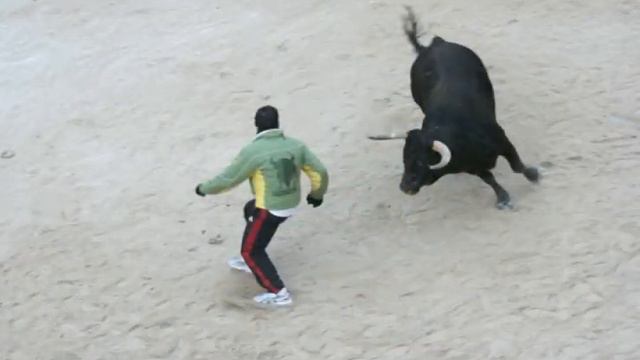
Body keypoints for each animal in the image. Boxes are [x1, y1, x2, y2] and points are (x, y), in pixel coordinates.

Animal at [370, 7, 540, 210]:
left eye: (420, 161)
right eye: (404, 159)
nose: (404, 187)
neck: (461, 137)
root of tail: (429, 47)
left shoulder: (503, 141)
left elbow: (517, 166)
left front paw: (534, 176)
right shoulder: (474, 168)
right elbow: (490, 179)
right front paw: (503, 198)